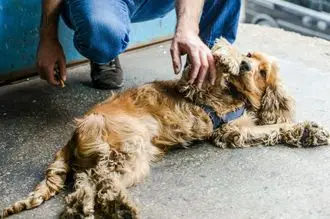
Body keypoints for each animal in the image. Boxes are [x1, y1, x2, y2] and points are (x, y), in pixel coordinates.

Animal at [1, 38, 328, 218]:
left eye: (262, 72)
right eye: (249, 56)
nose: (246, 65)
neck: (235, 96)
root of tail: (71, 137)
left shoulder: (232, 131)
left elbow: (270, 128)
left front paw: (308, 131)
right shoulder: (195, 87)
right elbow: (207, 63)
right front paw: (226, 53)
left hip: (114, 158)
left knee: (87, 188)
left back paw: (106, 206)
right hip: (127, 149)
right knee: (100, 183)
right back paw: (117, 206)